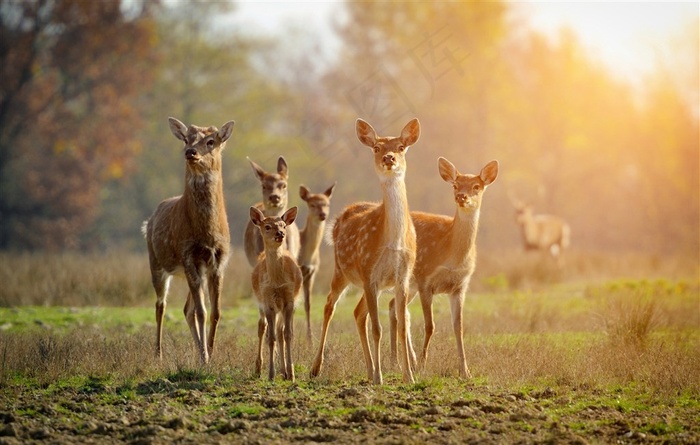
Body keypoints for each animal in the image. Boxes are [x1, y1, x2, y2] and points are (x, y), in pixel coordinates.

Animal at [143, 116, 235, 362]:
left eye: (211, 141)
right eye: (186, 139)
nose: (190, 152)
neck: (207, 234)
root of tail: (150, 220)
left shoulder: (219, 261)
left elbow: (215, 311)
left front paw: (210, 352)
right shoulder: (188, 255)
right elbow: (202, 312)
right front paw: (205, 356)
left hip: (192, 272)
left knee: (187, 309)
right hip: (156, 262)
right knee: (160, 305)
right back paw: (158, 353)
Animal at [252, 206, 304, 382]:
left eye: (283, 225)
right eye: (267, 226)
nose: (280, 233)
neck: (276, 282)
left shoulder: (289, 300)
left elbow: (288, 334)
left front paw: (291, 373)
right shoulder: (267, 300)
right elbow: (271, 337)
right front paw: (270, 375)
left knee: (280, 332)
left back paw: (284, 372)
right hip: (261, 303)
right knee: (262, 328)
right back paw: (258, 369)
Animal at [312, 118, 422, 386]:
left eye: (401, 147)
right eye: (376, 148)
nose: (389, 158)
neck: (393, 241)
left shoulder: (402, 277)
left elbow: (402, 325)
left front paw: (408, 376)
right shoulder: (369, 270)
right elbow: (377, 328)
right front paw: (381, 378)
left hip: (367, 283)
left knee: (357, 312)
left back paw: (370, 369)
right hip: (342, 271)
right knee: (329, 306)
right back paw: (316, 367)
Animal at [386, 156, 500, 378]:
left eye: (477, 186)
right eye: (455, 185)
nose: (461, 196)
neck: (452, 256)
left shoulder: (459, 287)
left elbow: (459, 327)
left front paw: (465, 371)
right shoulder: (425, 279)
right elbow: (430, 326)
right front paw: (423, 366)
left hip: (409, 285)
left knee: (393, 307)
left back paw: (402, 361)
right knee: (396, 310)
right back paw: (400, 362)